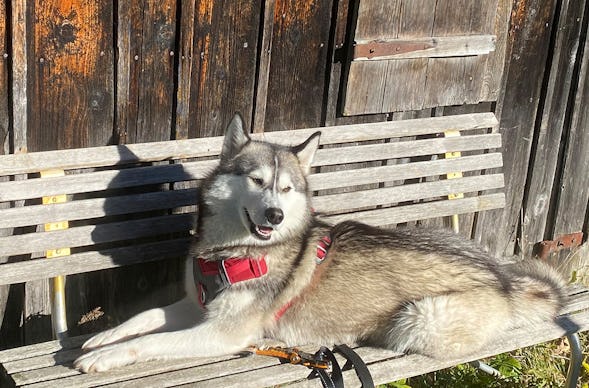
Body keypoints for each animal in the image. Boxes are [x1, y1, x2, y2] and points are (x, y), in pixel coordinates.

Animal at [74, 113, 564, 372]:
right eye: (256, 180)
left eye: (287, 188)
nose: (274, 215)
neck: (233, 253)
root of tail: (503, 278)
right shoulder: (196, 305)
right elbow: (144, 316)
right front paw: (103, 337)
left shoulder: (224, 332)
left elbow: (152, 341)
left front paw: (109, 355)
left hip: (421, 318)